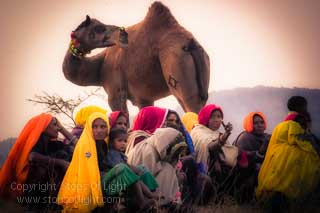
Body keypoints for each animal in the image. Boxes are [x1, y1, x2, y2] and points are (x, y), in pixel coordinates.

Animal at [63, 1, 211, 113]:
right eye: (98, 28)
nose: (122, 34)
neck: (99, 69)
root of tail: (190, 43)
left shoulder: (115, 92)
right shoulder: (144, 98)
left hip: (177, 70)